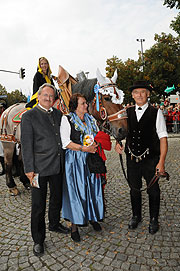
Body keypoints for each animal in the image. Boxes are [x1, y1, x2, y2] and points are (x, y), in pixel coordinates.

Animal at [0, 68, 128, 196]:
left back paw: (26, 182)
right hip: (8, 143)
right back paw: (12, 186)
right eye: (107, 98)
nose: (123, 130)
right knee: (8, 162)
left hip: (22, 143)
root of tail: (7, 110)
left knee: (22, 160)